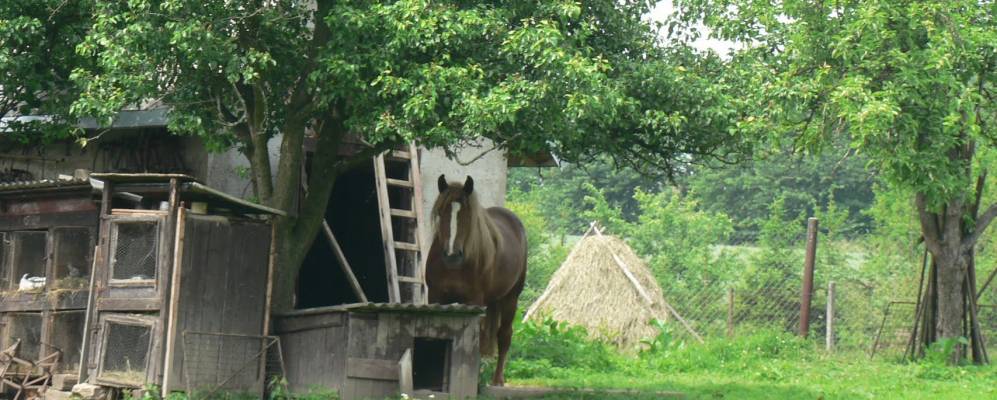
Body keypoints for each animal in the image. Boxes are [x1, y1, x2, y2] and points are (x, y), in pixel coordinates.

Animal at [424, 173, 524, 386]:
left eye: (468, 214)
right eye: (441, 211)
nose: (452, 255)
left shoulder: (474, 300)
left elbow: (476, 341)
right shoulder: (435, 296)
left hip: (511, 298)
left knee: (504, 336)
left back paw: (497, 380)